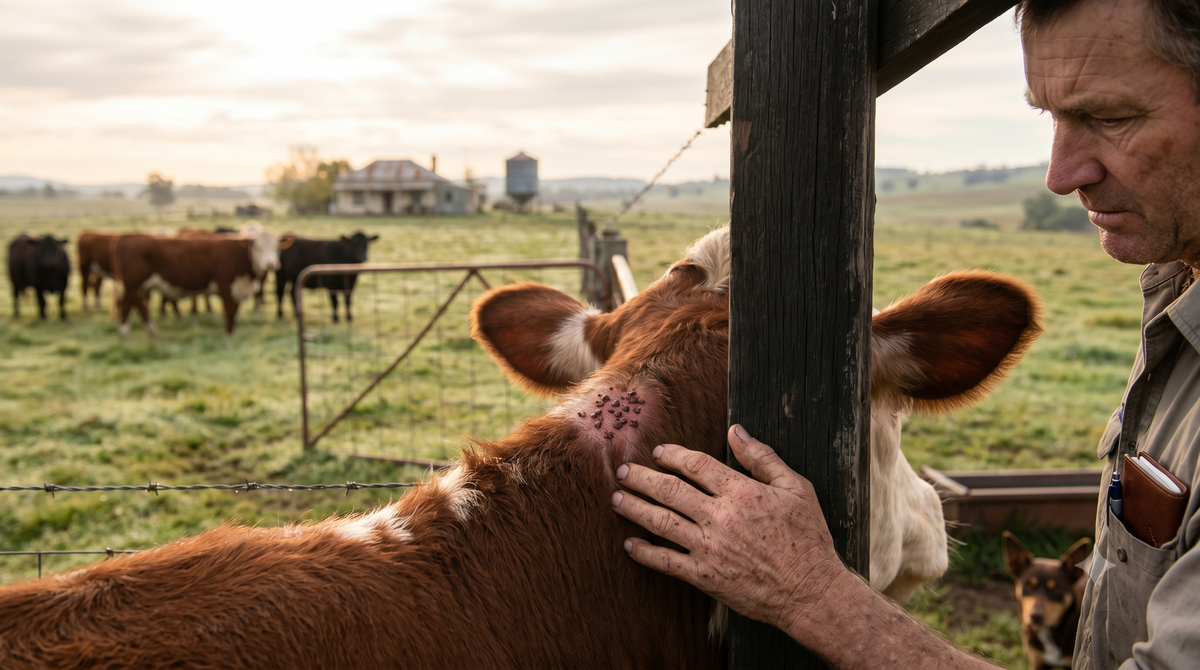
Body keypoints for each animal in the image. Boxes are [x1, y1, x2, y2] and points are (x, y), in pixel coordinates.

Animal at [111, 227, 291, 337]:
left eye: (277, 248)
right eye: (257, 248)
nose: (270, 264)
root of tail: (128, 237)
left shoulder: (238, 290)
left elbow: (235, 311)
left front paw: (234, 331)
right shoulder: (226, 287)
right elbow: (230, 312)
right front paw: (230, 333)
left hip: (142, 287)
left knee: (140, 306)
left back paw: (153, 332)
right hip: (132, 285)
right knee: (127, 304)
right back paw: (124, 334)